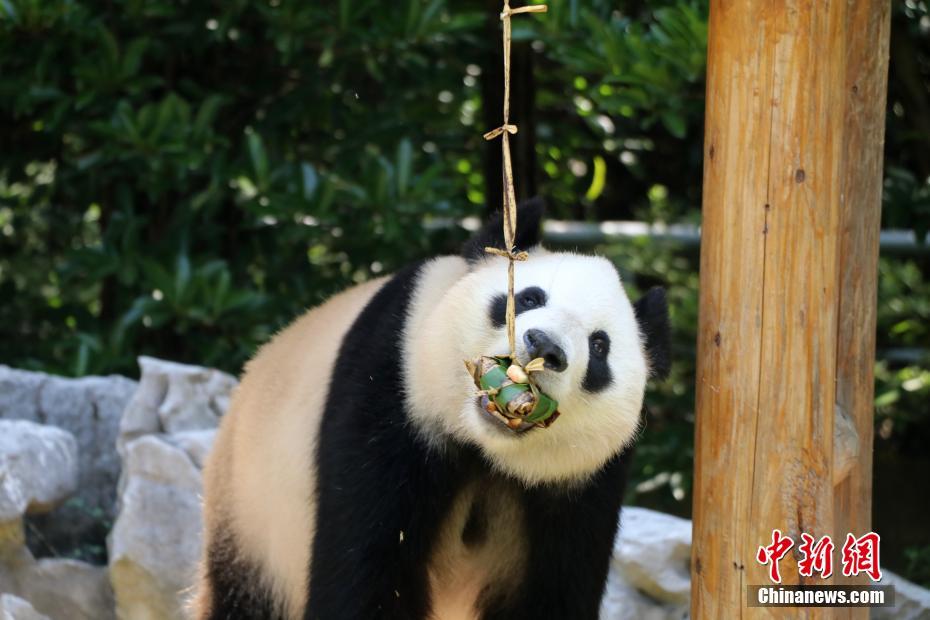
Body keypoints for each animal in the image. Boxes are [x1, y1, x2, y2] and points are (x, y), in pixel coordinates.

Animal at [194, 201, 668, 616]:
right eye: (530, 298)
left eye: (600, 346)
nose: (545, 347)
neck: (484, 448)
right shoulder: (392, 390)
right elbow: (368, 565)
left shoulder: (586, 486)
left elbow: (556, 593)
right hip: (252, 521)